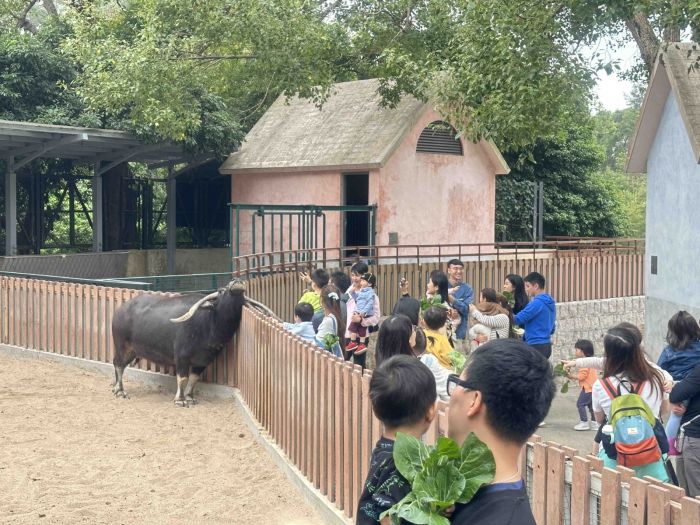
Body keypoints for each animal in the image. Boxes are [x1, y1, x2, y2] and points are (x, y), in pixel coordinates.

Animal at [111, 279, 275, 406]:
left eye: (243, 295)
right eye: (221, 291)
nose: (237, 281)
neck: (209, 324)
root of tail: (120, 310)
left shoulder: (204, 360)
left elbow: (194, 379)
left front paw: (190, 397)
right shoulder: (181, 357)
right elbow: (183, 378)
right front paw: (180, 400)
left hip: (133, 351)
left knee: (118, 364)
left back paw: (114, 387)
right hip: (122, 346)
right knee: (118, 364)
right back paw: (120, 391)